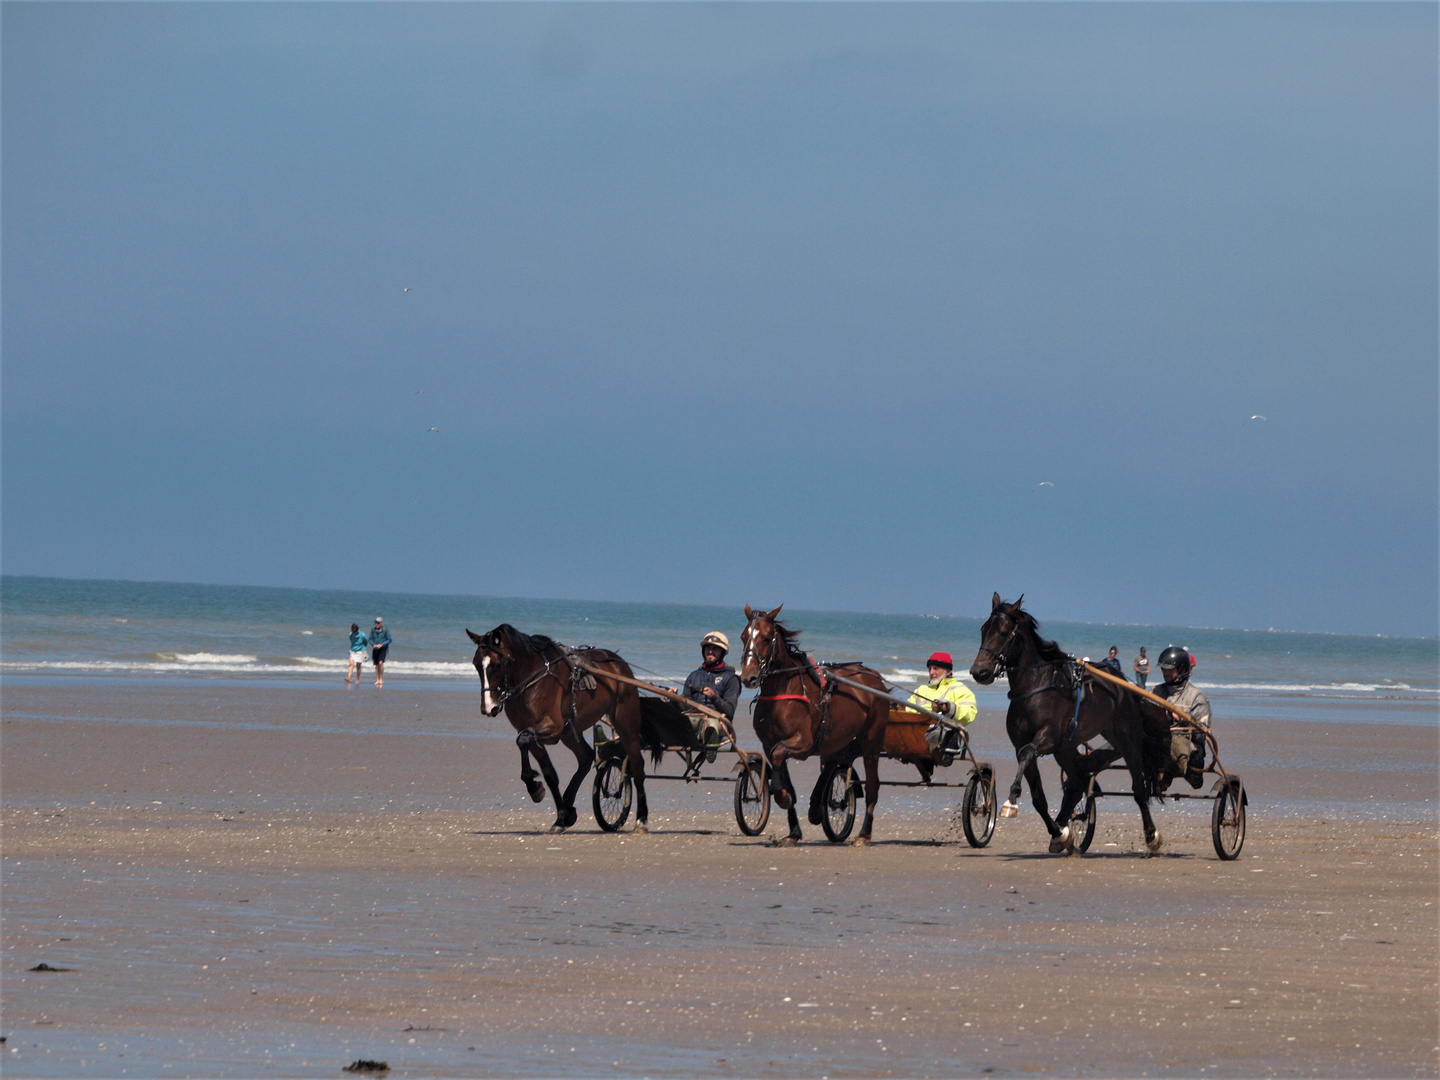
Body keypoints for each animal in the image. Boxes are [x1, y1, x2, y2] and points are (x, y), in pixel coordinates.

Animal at [466, 624, 648, 835]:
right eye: (476, 664)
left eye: (495, 664)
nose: (488, 708)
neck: (531, 676)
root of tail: (617, 662)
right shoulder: (532, 730)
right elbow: (548, 772)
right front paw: (560, 815)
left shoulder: (552, 727)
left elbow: (523, 739)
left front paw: (535, 788)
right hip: (570, 731)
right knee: (586, 757)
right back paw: (568, 805)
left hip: (626, 725)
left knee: (637, 766)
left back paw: (642, 819)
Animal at [743, 610, 887, 846]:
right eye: (743, 636)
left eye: (765, 638)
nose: (749, 677)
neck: (782, 691)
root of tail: (873, 677)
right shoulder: (769, 743)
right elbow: (782, 771)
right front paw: (793, 832)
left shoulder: (803, 741)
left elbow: (780, 755)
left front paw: (783, 798)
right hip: (838, 738)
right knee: (838, 759)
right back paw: (816, 807)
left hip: (872, 740)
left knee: (872, 785)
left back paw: (864, 834)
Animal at [967, 593, 1169, 852]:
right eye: (983, 629)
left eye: (1003, 632)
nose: (979, 671)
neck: (1035, 688)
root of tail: (1122, 683)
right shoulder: (1025, 743)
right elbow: (1038, 797)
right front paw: (1059, 832)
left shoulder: (1046, 737)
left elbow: (1027, 754)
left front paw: (1011, 801)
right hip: (1066, 748)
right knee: (1078, 781)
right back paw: (1064, 826)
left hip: (1125, 737)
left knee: (1138, 789)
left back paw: (1152, 834)